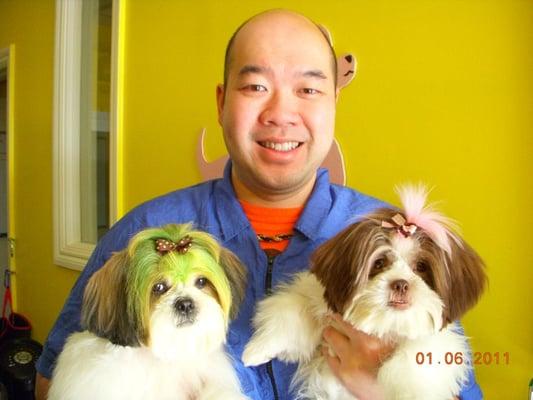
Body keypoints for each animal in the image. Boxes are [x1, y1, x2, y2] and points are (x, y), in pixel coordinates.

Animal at [244, 187, 486, 400]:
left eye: (421, 267)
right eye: (379, 263)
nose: (401, 284)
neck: (385, 325)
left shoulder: (439, 343)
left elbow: (419, 358)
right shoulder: (318, 298)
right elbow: (294, 309)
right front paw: (259, 348)